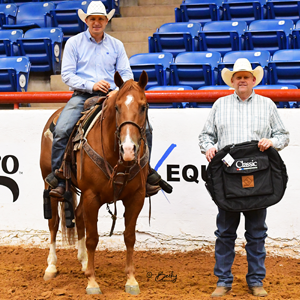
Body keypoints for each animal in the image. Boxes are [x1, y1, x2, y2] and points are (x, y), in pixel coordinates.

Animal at [39, 71, 150, 294]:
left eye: (143, 107)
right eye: (117, 107)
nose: (128, 150)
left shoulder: (136, 197)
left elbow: (129, 237)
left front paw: (131, 280)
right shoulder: (92, 196)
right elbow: (93, 238)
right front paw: (92, 282)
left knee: (78, 216)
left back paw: (83, 262)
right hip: (49, 184)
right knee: (53, 223)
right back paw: (51, 266)